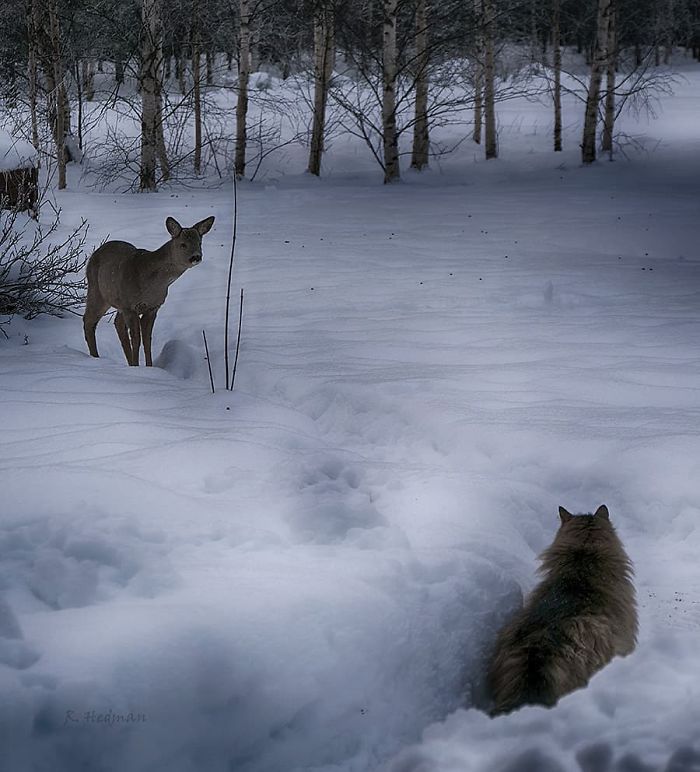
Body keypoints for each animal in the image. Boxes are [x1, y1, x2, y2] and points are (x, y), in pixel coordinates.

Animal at [82, 214, 213, 364]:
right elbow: (136, 340)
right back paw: (95, 357)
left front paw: (149, 366)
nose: (196, 257)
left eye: (199, 243)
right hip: (97, 290)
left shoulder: (153, 307)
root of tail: (94, 254)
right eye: (183, 244)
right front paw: (137, 367)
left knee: (117, 323)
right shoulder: (130, 306)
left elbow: (147, 340)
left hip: (117, 301)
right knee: (89, 320)